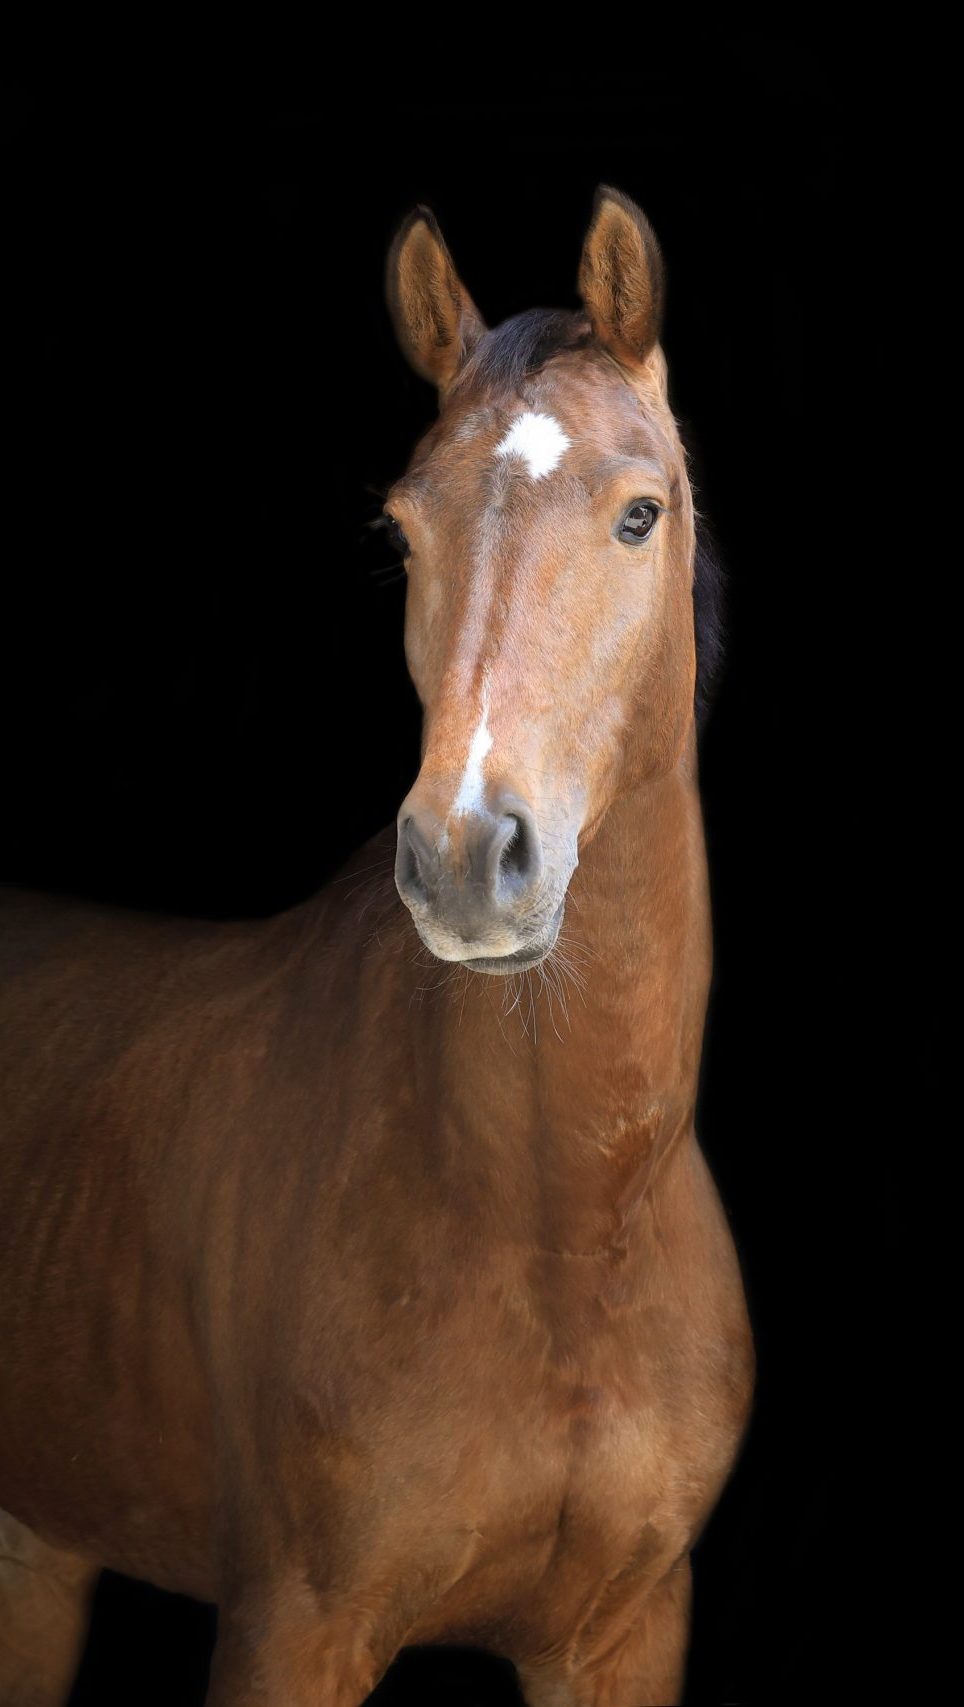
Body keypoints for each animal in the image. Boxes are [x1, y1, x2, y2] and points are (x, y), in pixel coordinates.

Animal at [0, 186, 754, 1706]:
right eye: (404, 537)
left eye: (640, 513)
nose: (467, 855)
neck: (561, 1230)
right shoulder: (292, 1625)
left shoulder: (628, 1632)